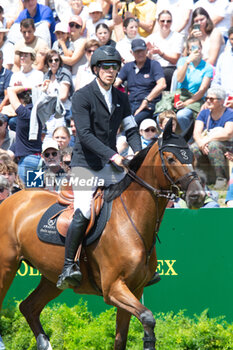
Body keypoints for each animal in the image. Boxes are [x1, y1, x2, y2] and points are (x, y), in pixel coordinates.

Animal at [0, 119, 205, 348]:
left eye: (192, 158)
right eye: (170, 158)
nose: (198, 196)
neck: (130, 219)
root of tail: (11, 200)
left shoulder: (135, 289)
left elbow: (124, 336)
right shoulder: (113, 288)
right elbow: (148, 318)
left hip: (51, 278)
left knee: (28, 307)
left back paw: (45, 343)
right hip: (6, 268)